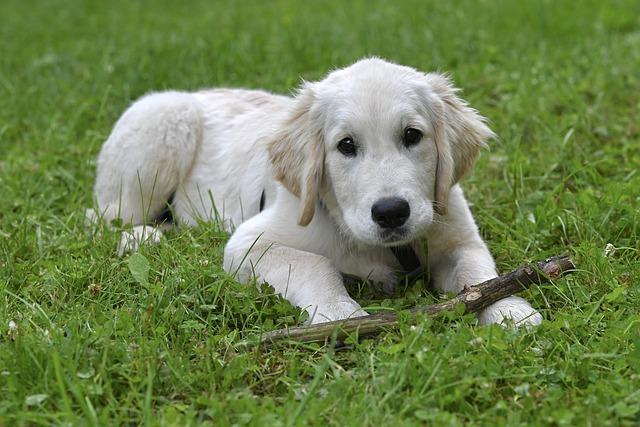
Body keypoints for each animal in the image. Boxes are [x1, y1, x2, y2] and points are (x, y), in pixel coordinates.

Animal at [90, 56, 540, 324]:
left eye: (413, 136)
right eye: (346, 146)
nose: (391, 212)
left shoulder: (457, 235)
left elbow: (478, 273)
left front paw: (509, 310)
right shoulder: (248, 245)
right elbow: (315, 264)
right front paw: (341, 313)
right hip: (162, 123)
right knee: (103, 218)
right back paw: (142, 237)